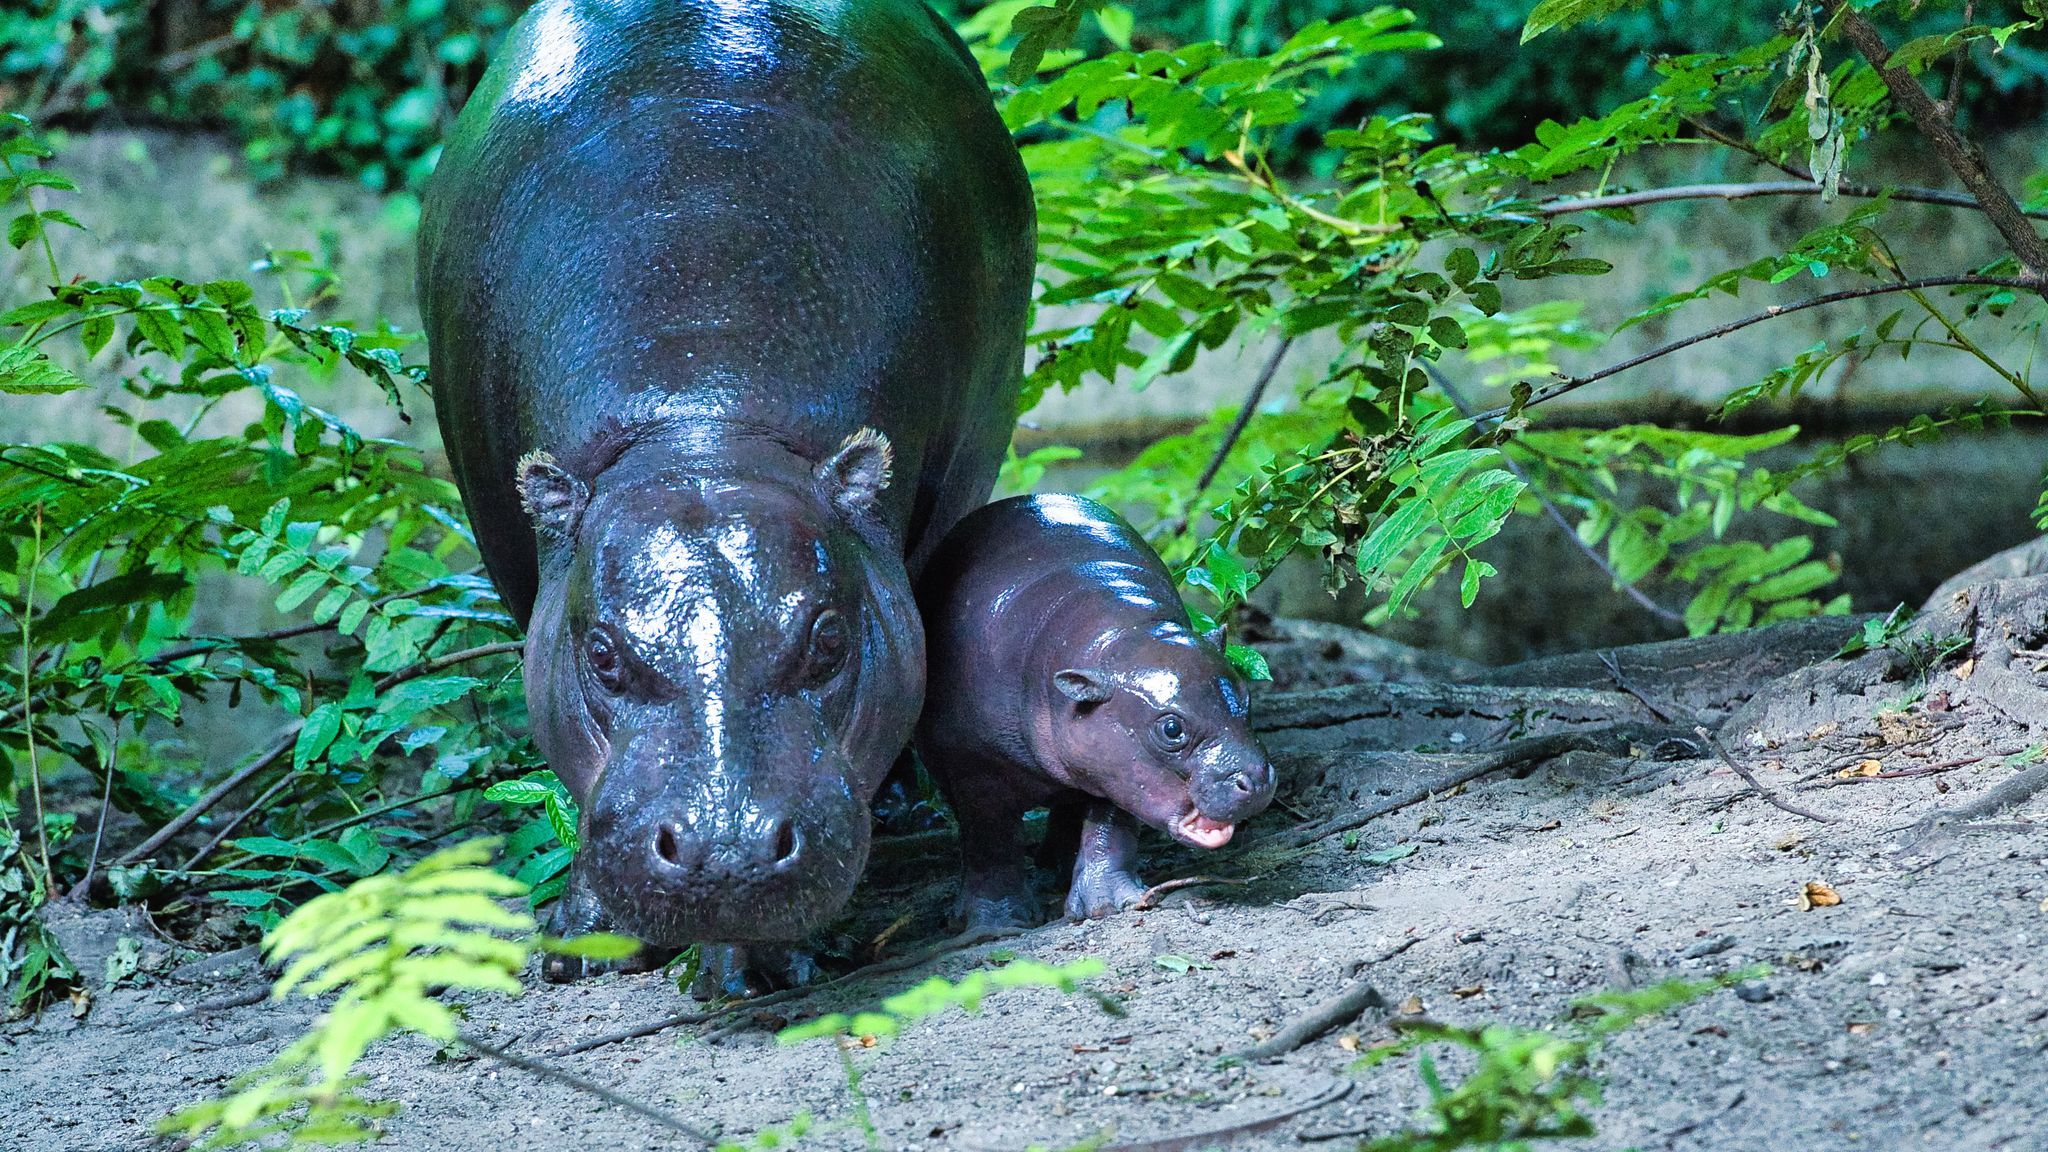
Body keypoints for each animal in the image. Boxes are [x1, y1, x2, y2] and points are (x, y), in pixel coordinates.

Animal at [416, 0, 1034, 993]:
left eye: (829, 639)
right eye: (602, 656)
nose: (727, 852)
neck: (703, 423)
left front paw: (761, 967)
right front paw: (580, 944)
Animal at [914, 495, 1276, 930]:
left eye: (1245, 697)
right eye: (1172, 729)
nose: (1258, 779)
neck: (1117, 636)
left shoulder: (1115, 764)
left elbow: (1110, 823)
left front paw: (1110, 905)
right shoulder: (974, 766)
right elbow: (990, 838)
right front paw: (997, 923)